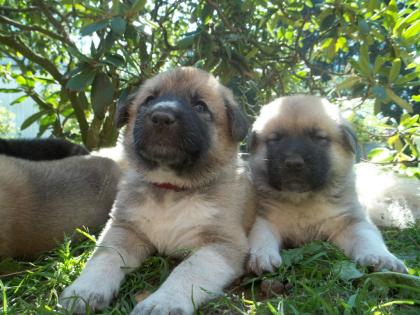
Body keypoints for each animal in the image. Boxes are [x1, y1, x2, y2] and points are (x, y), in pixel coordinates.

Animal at [60, 68, 254, 314]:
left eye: (200, 106)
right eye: (149, 100)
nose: (161, 116)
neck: (170, 190)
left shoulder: (223, 243)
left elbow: (188, 269)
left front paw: (163, 302)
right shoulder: (125, 228)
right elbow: (104, 257)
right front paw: (85, 290)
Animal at [246, 96, 406, 276]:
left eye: (319, 138)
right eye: (275, 139)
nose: (293, 163)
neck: (303, 201)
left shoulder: (351, 222)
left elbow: (367, 238)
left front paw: (382, 258)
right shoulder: (267, 218)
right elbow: (261, 236)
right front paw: (261, 256)